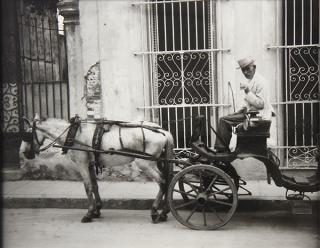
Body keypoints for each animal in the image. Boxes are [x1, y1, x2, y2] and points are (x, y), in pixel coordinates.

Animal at [21, 114, 174, 223]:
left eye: (27, 135)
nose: (23, 153)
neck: (73, 133)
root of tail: (164, 132)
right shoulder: (90, 163)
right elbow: (94, 186)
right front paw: (97, 210)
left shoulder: (82, 163)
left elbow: (87, 187)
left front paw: (89, 213)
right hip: (158, 161)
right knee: (168, 181)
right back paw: (165, 211)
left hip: (145, 163)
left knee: (163, 182)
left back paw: (155, 211)